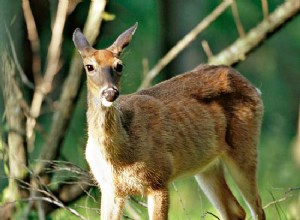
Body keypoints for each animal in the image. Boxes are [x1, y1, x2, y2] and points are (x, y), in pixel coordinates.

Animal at [72, 22, 264, 220]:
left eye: (119, 66)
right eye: (89, 66)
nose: (110, 93)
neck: (121, 155)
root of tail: (251, 85)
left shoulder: (158, 179)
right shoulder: (110, 188)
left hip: (244, 148)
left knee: (257, 207)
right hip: (207, 166)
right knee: (235, 210)